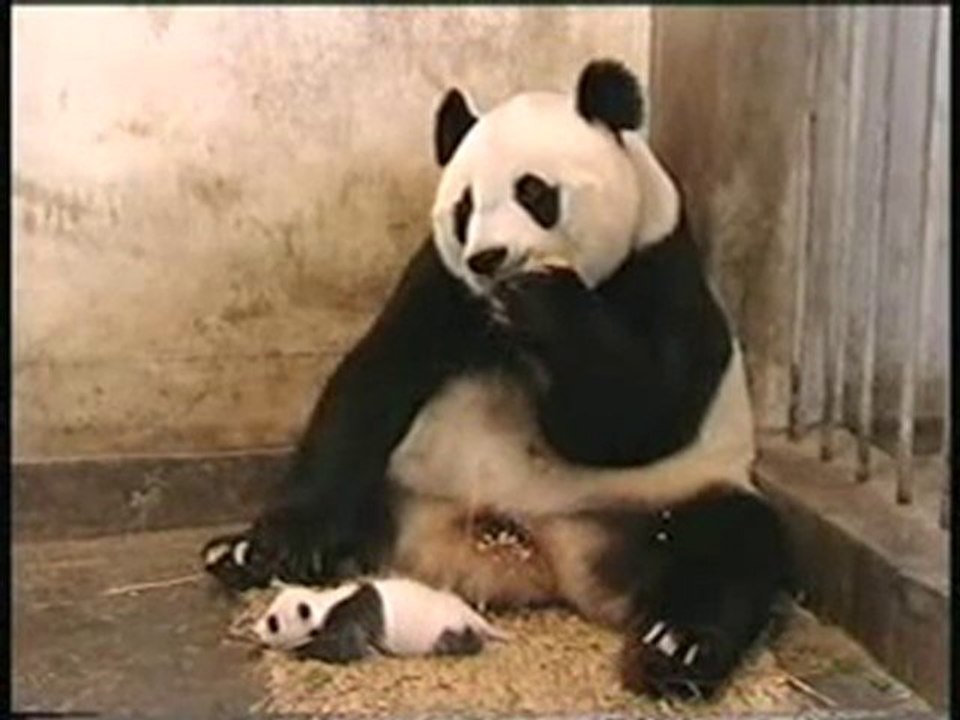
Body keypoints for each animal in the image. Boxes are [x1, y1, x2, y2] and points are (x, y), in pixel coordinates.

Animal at [203, 59, 790, 700]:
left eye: (534, 192)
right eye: (464, 208)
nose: (490, 257)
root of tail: (536, 559)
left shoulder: (661, 270)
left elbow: (635, 421)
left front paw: (547, 306)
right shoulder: (441, 282)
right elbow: (373, 382)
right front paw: (284, 542)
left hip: (662, 501)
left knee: (734, 544)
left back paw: (675, 649)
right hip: (404, 485)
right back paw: (242, 554)